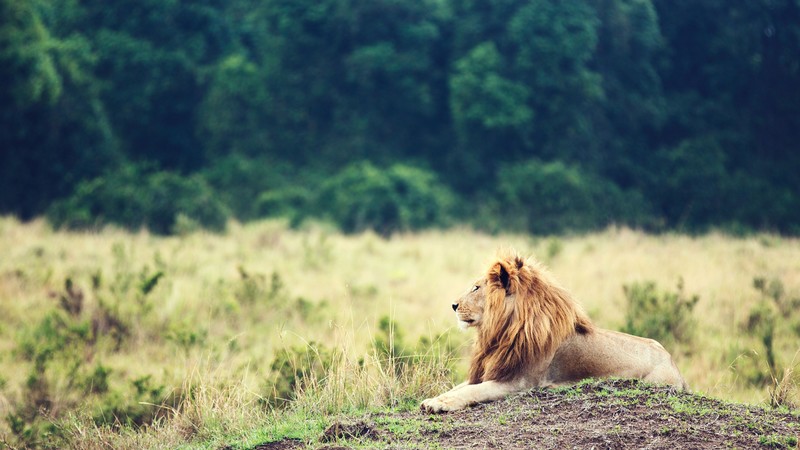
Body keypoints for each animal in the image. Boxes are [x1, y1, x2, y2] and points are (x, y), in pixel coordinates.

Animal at [421, 252, 688, 413]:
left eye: (476, 288)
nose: (453, 305)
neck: (503, 330)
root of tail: (675, 366)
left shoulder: (520, 382)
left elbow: (473, 390)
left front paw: (441, 404)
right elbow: (459, 387)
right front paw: (433, 399)